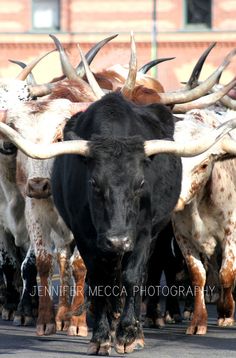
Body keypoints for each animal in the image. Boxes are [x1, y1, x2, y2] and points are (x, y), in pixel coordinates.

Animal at [50, 91, 182, 352]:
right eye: (93, 183)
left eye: (141, 183)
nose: (117, 240)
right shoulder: (85, 236)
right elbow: (99, 280)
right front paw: (101, 336)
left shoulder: (142, 234)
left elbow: (132, 276)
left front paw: (128, 334)